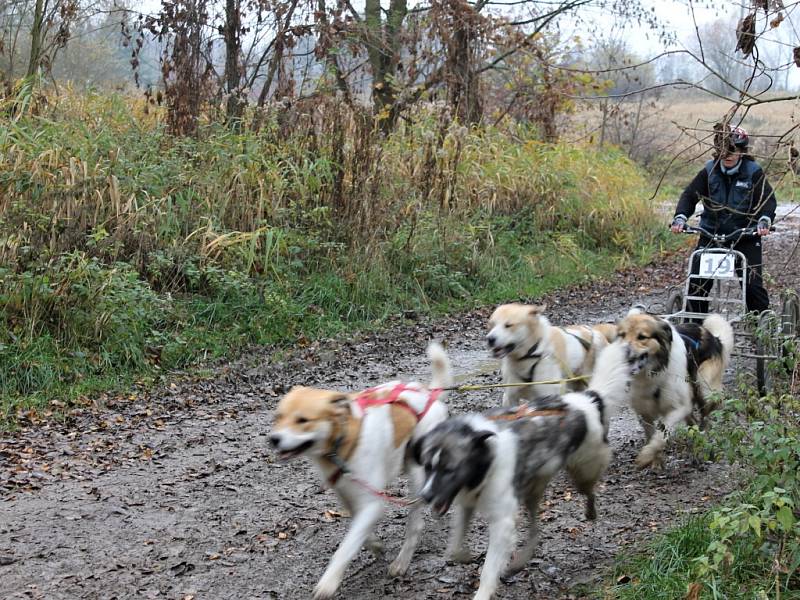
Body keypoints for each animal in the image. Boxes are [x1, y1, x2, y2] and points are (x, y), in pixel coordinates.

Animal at [272, 340, 454, 596]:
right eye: (278, 416)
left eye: (303, 420)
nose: (273, 439)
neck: (345, 440)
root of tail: (429, 395)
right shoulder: (348, 497)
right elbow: (360, 533)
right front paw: (376, 545)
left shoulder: (372, 503)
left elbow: (346, 547)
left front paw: (328, 582)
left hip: (417, 471)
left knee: (416, 524)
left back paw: (402, 561)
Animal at [412, 342, 632, 600]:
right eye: (428, 467)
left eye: (449, 469)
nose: (426, 496)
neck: (487, 458)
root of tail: (586, 399)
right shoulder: (467, 504)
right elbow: (455, 547)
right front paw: (464, 555)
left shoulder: (502, 524)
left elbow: (488, 570)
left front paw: (483, 591)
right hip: (532, 492)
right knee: (536, 531)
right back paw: (521, 560)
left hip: (583, 470)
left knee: (589, 492)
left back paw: (590, 511)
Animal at [616, 310, 736, 468]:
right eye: (622, 335)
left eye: (642, 337)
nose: (621, 353)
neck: (654, 373)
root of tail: (714, 338)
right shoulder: (644, 412)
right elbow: (652, 435)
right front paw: (656, 460)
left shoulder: (679, 408)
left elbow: (661, 435)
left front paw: (646, 455)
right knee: (694, 422)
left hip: (704, 388)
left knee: (706, 418)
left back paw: (704, 445)